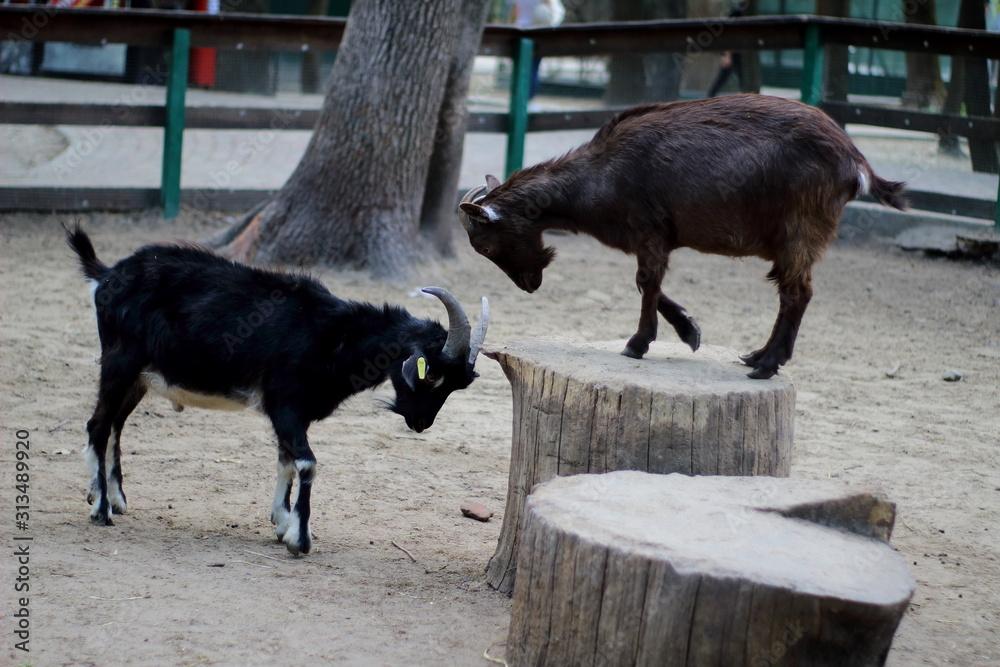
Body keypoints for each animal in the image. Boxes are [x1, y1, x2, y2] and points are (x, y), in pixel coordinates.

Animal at [66, 227, 488, 556]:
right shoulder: (284, 404)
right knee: (97, 425)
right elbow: (306, 463)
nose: (421, 422)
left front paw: (282, 522)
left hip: (140, 377)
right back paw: (100, 510)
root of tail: (106, 276)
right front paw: (299, 538)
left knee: (115, 424)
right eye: (433, 375)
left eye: (459, 383)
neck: (332, 336)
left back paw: (113, 498)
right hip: (120, 362)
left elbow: (286, 459)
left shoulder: (296, 413)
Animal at [460, 92, 908, 380]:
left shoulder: (649, 229)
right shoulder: (656, 237)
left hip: (801, 229)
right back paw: (757, 356)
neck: (600, 175)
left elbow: (646, 282)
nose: (529, 284)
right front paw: (690, 331)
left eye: (485, 245)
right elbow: (652, 285)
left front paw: (637, 343)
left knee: (798, 292)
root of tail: (856, 161)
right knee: (790, 292)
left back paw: (766, 365)